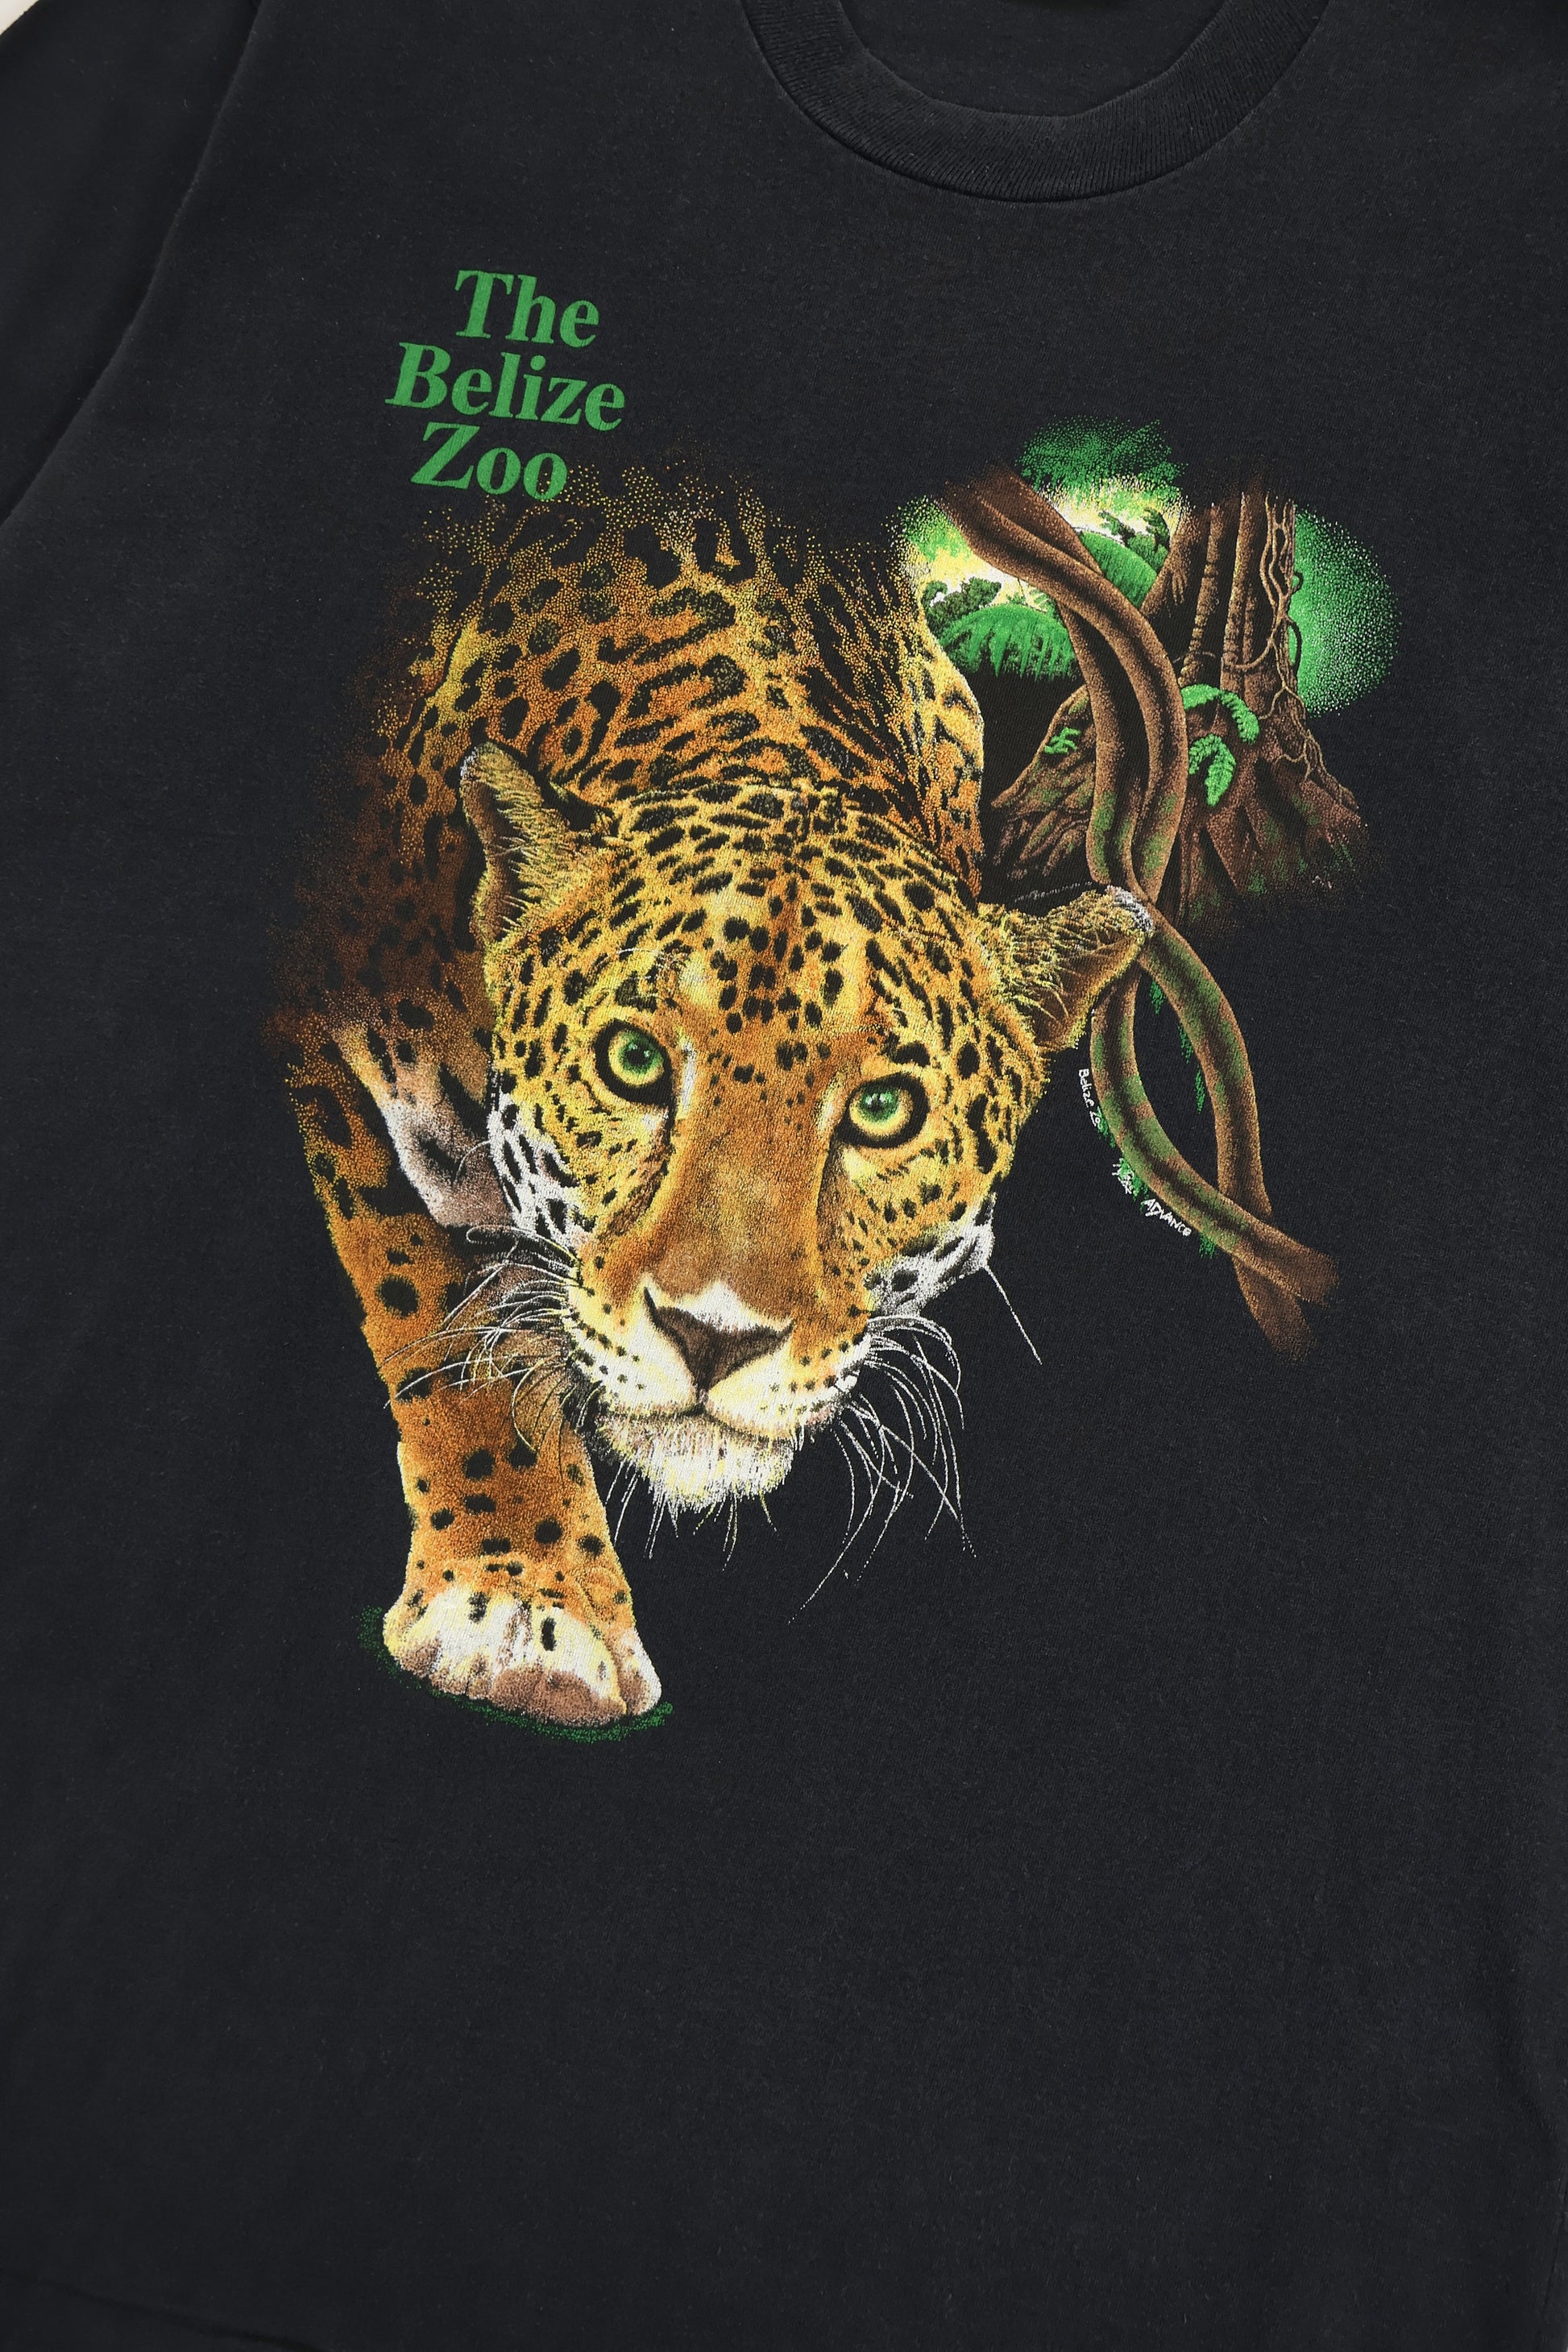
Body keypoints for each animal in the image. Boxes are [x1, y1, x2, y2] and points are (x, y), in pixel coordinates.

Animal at [272, 465, 1151, 1728]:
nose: (714, 1336)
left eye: (881, 1110)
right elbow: (442, 1320)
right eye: (635, 1064)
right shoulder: (328, 1037)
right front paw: (522, 1599)